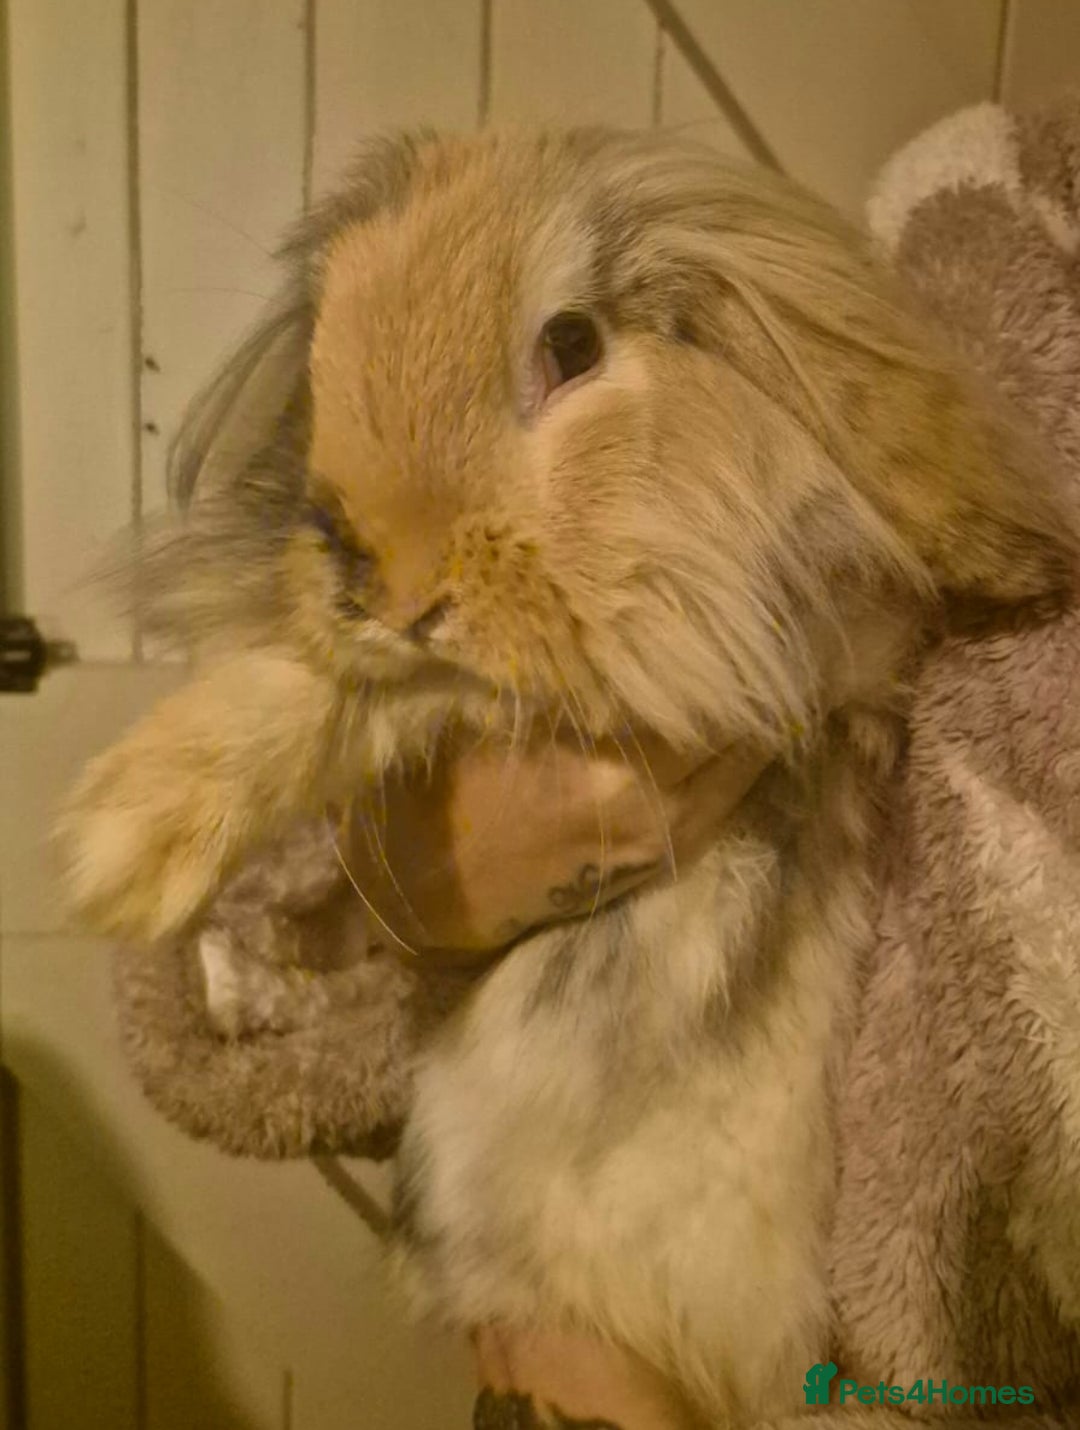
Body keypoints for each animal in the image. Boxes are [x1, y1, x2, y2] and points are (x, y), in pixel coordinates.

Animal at [58, 128, 1077, 1425]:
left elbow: (397, 693)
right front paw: (139, 845)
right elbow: (350, 687)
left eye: (573, 344)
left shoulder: (721, 653)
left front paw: (119, 836)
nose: (382, 578)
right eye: (323, 349)